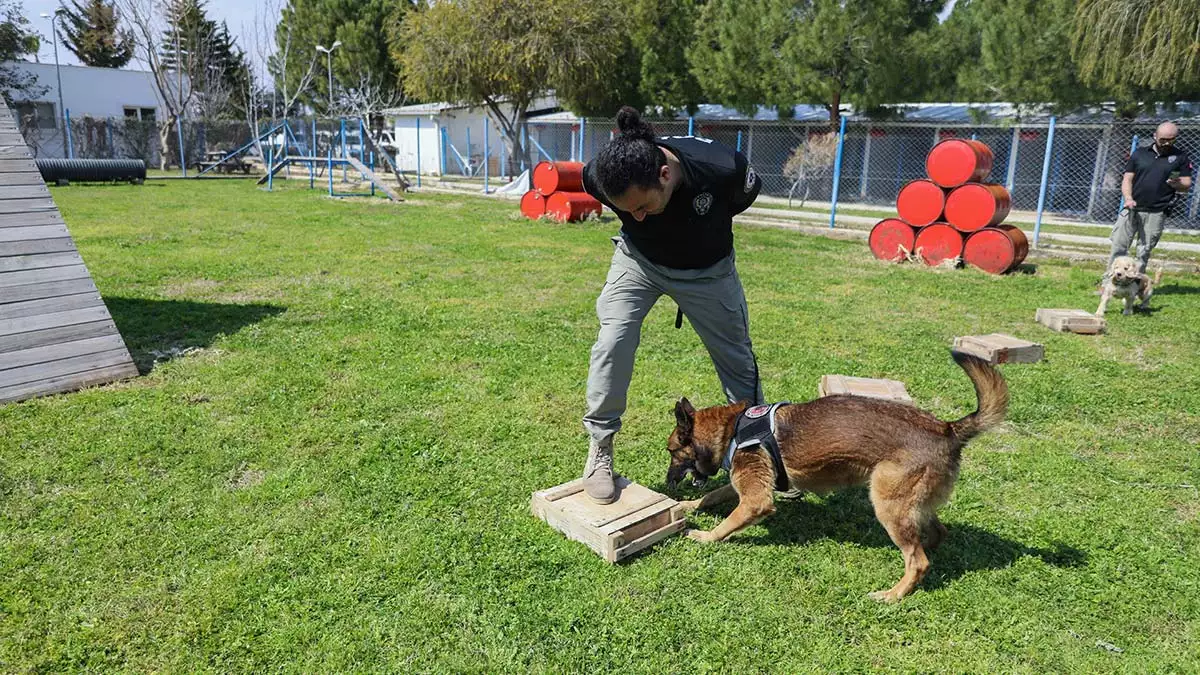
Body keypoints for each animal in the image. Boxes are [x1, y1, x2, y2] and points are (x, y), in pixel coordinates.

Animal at [667, 348, 1003, 600]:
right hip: (909, 504)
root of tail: (948, 429)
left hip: (886, 503)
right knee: (933, 536)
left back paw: (893, 595)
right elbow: (711, 495)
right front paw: (688, 505)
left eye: (671, 452)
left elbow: (726, 524)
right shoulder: (744, 483)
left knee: (918, 561)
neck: (731, 429)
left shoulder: (755, 500)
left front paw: (706, 536)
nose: (669, 483)